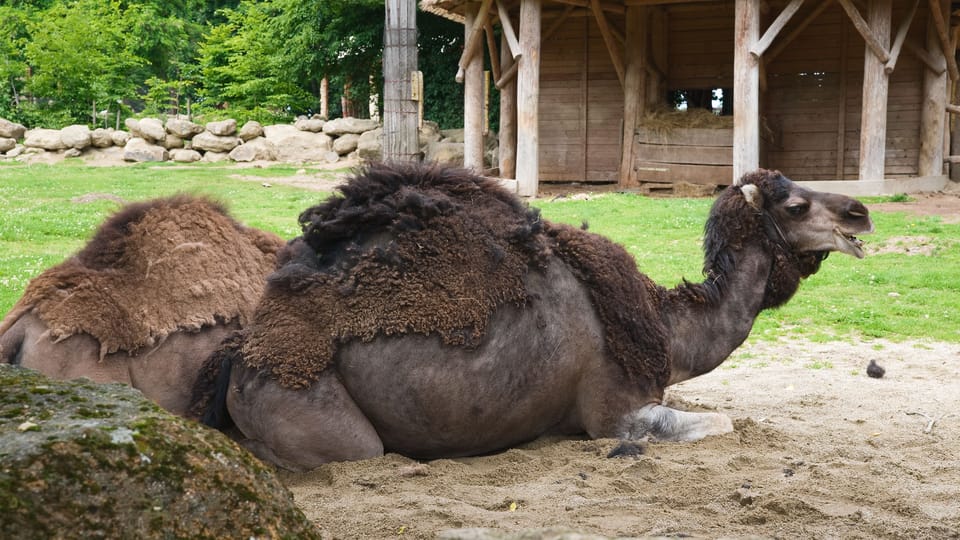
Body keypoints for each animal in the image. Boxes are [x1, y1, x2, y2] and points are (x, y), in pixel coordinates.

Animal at [195, 163, 873, 471]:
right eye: (795, 204)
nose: (861, 213)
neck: (662, 325)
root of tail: (242, 355)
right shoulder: (612, 408)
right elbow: (720, 425)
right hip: (318, 413)